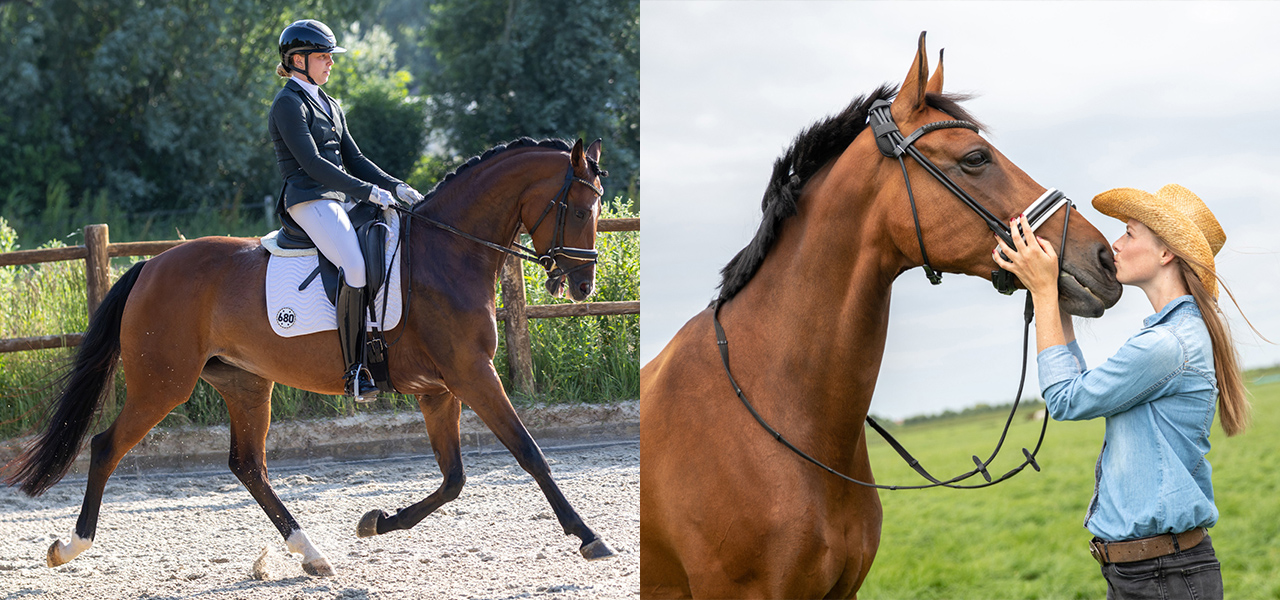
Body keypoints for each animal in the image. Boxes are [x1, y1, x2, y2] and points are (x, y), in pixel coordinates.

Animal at [3, 137, 617, 576]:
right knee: (107, 446)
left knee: (248, 465)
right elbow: (529, 453)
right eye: (579, 207)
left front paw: (375, 521)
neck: (448, 252)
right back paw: (70, 547)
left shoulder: (439, 389)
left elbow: (454, 479)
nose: (582, 285)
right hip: (164, 383)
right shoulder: (472, 375)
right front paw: (590, 538)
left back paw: (313, 553)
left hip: (246, 383)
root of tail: (151, 266)